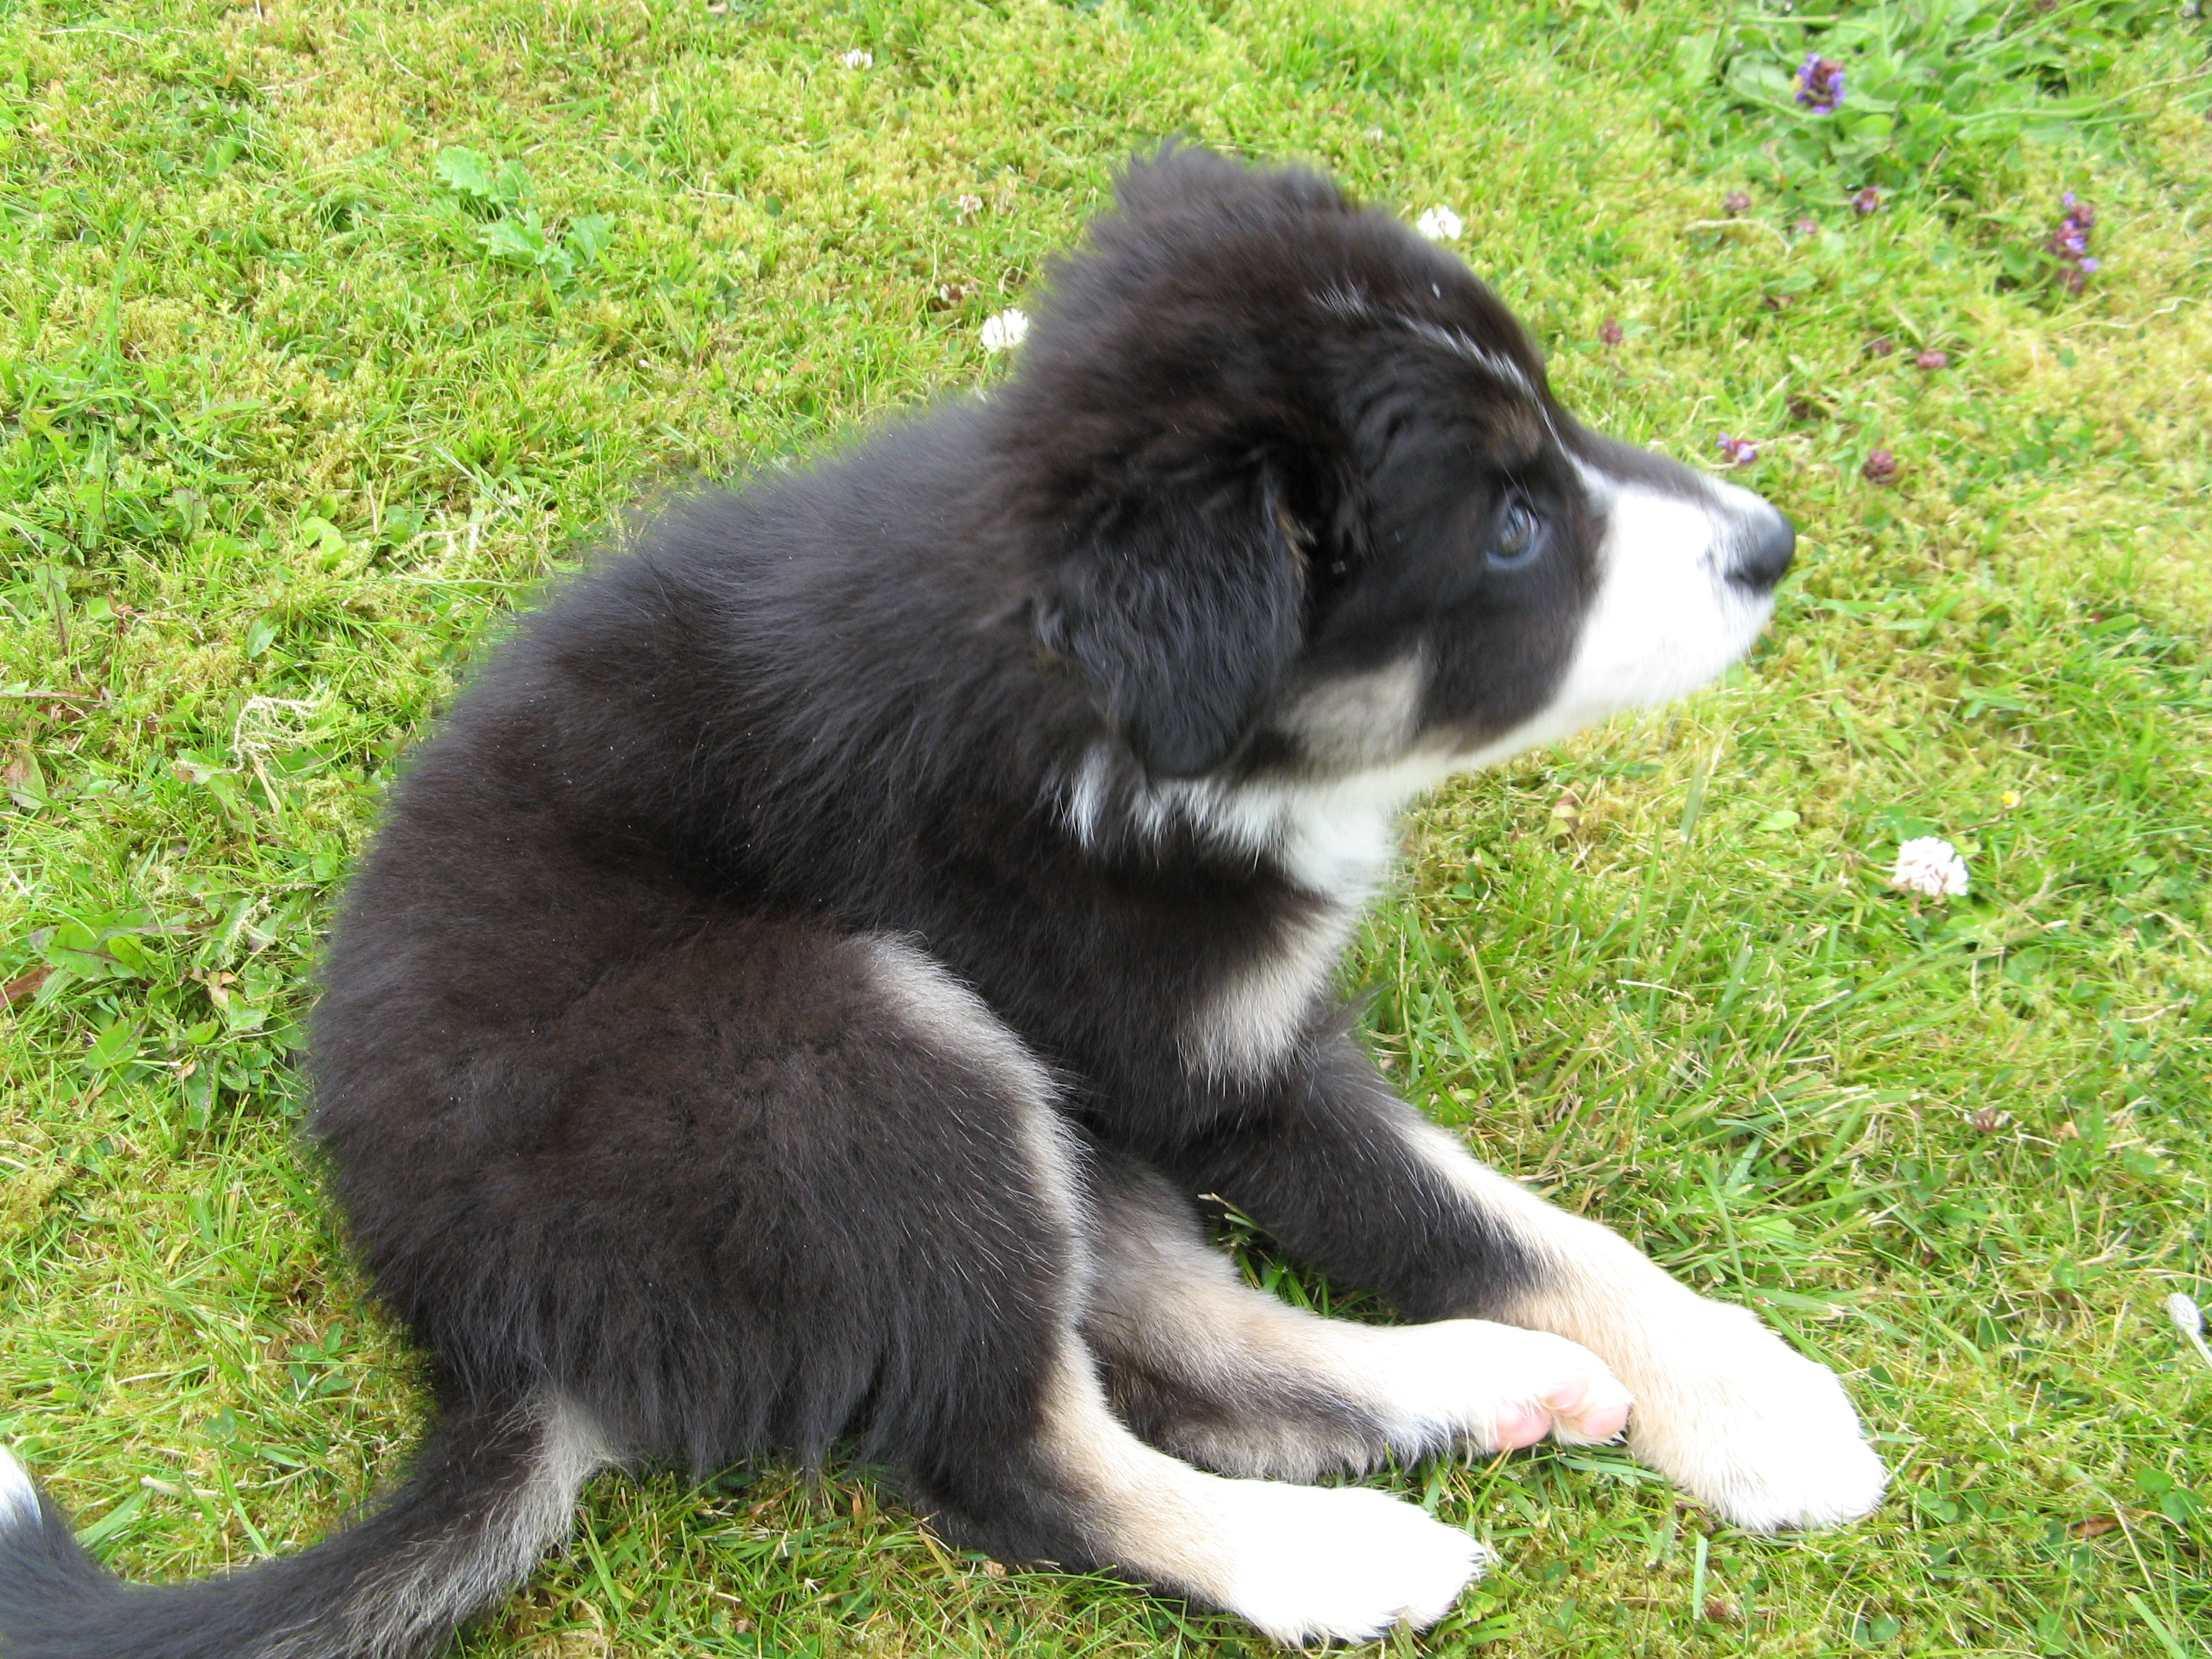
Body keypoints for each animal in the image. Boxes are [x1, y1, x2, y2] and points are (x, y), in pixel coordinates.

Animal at [0, 145, 1884, 1659]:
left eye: (1557, 424)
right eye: (1509, 530)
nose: (1773, 544)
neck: (1099, 687)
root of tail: (481, 1335)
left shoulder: (1183, 1057)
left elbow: (1513, 1224)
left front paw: (1720, 1384)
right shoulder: (1215, 1064)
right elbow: (1479, 1220)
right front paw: (1766, 1413)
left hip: (1004, 1100)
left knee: (1166, 1337)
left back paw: (1487, 1391)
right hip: (853, 1048)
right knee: (1018, 1454)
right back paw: (1339, 1558)